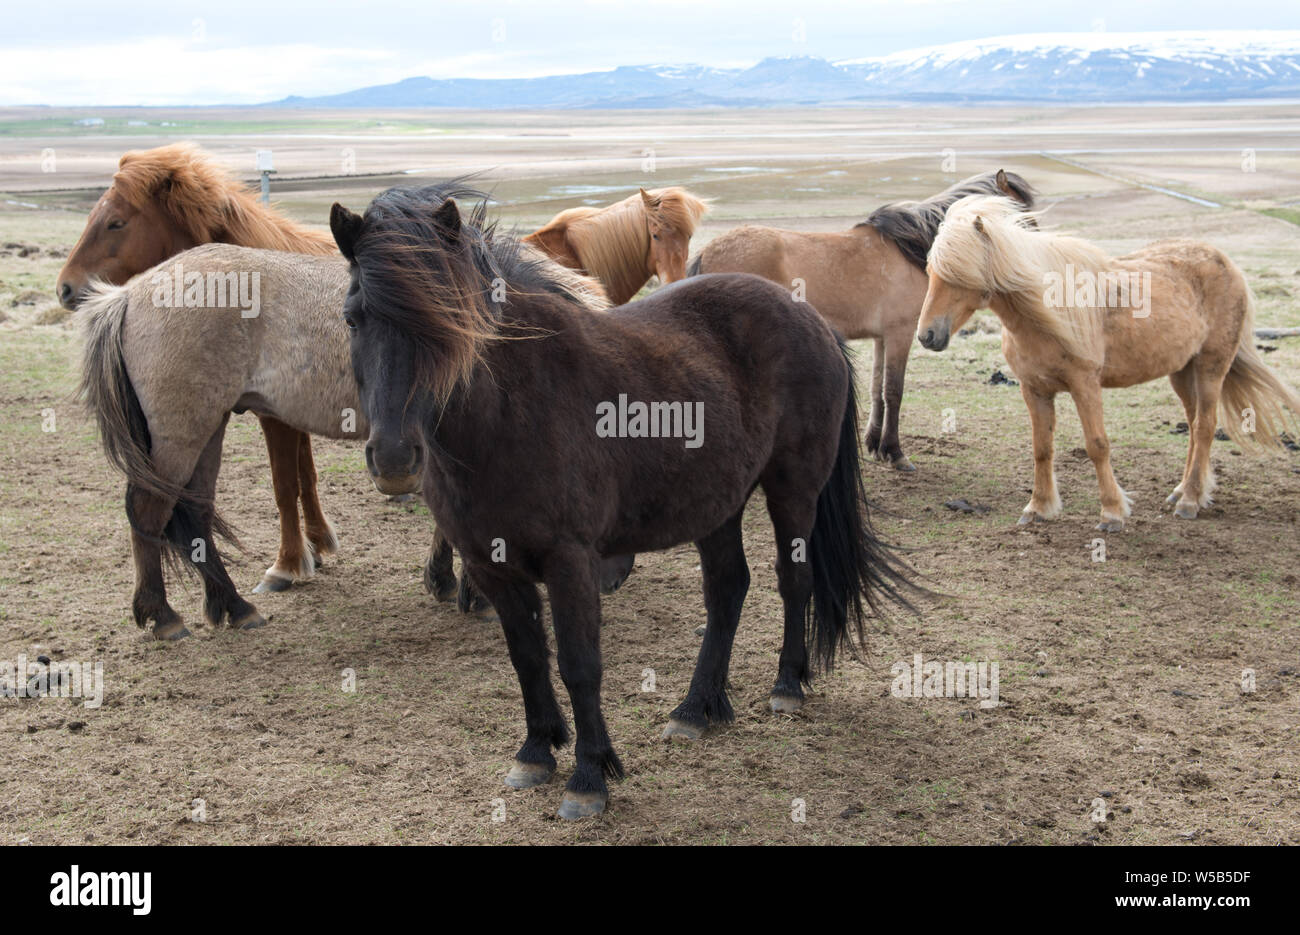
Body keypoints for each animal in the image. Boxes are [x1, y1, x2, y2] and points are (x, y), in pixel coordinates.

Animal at [691, 169, 1034, 470]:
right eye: (1022, 224)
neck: (910, 249)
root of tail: (708, 252)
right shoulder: (900, 335)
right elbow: (894, 391)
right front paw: (895, 453)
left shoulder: (882, 337)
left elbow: (876, 388)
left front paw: (874, 445)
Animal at [915, 193, 1300, 530]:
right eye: (931, 271)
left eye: (960, 274)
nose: (927, 335)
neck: (1044, 316)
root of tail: (1227, 263)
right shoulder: (1034, 390)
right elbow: (1042, 448)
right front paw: (1038, 508)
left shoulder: (1085, 384)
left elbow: (1097, 446)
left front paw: (1112, 513)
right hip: (1182, 372)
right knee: (1194, 426)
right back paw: (1182, 492)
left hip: (1211, 367)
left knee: (1205, 426)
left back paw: (1190, 501)